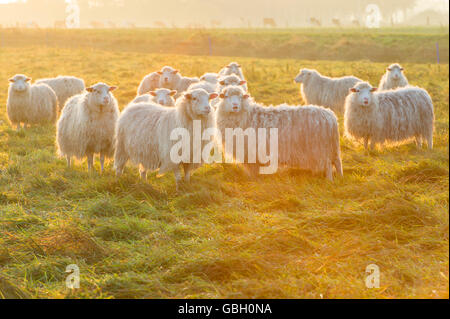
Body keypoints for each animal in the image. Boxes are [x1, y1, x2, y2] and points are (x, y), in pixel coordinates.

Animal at [214, 86, 342, 181]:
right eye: (226, 96)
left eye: (241, 97)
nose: (235, 106)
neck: (246, 116)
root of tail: (331, 117)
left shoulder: (250, 152)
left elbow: (253, 169)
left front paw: (253, 180)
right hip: (332, 147)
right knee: (337, 161)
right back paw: (340, 177)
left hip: (320, 148)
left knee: (328, 164)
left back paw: (329, 180)